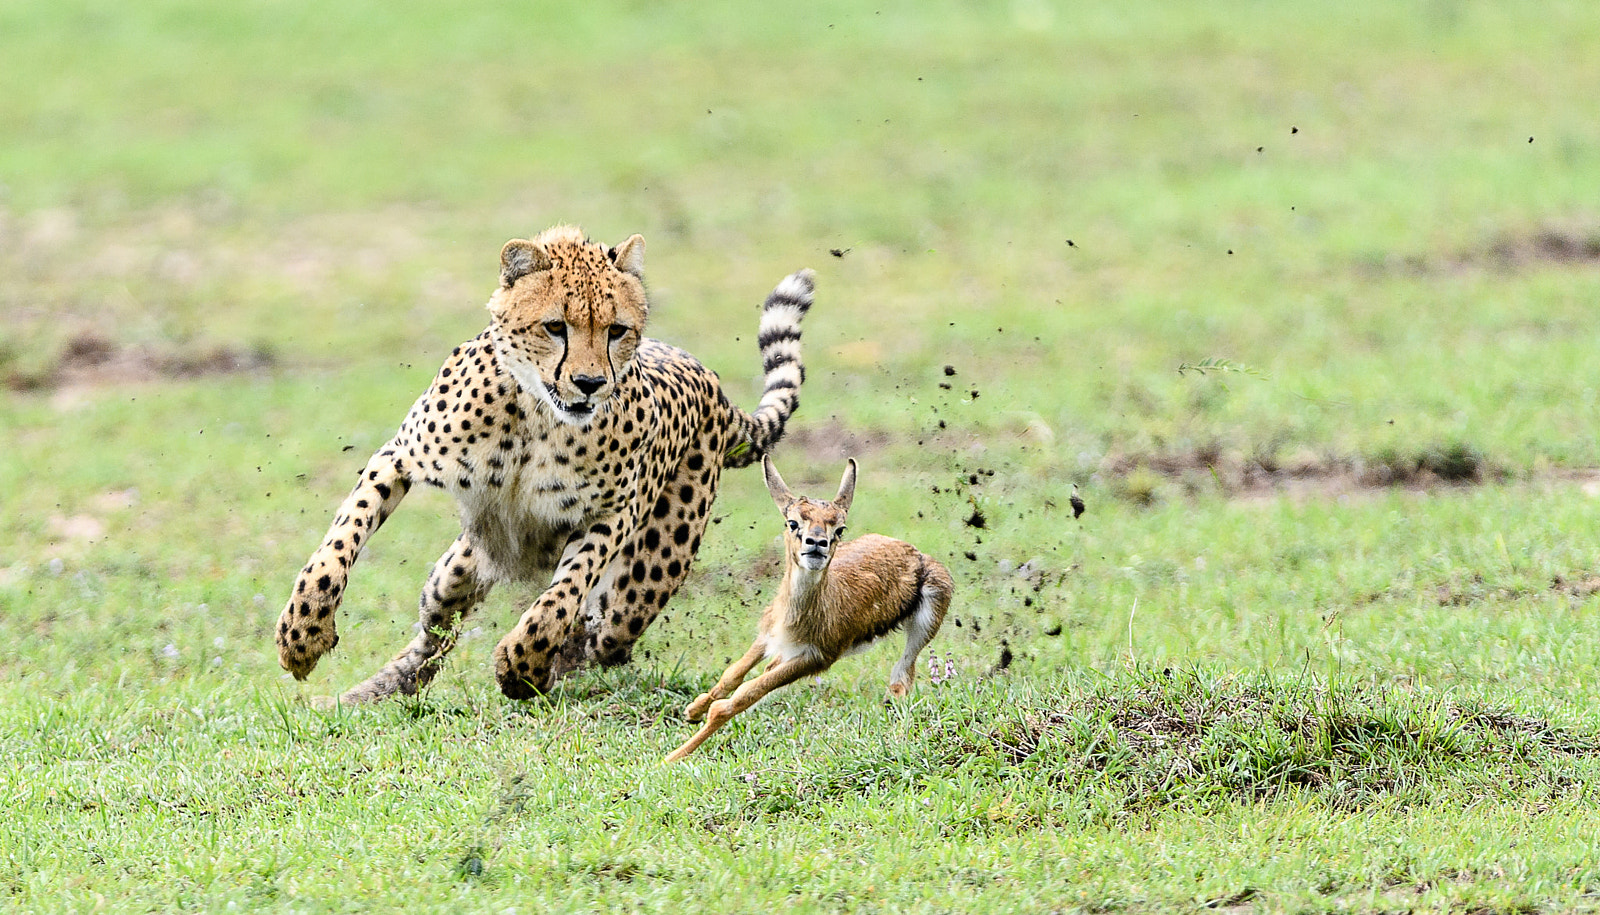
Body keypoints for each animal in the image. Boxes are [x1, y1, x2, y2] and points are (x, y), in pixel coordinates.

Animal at [274, 224, 814, 702]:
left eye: (617, 330)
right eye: (556, 327)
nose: (590, 383)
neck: (535, 415)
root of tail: (712, 384)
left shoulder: (613, 514)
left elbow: (565, 591)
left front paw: (524, 663)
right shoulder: (400, 457)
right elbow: (339, 541)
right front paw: (304, 631)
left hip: (641, 585)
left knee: (602, 639)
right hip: (454, 573)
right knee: (435, 633)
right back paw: (370, 692)